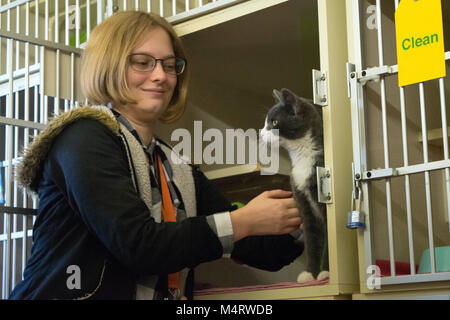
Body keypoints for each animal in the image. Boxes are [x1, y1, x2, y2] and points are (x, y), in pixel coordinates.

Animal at [258, 88, 328, 282]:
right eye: (266, 122)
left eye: (274, 122)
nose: (260, 133)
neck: (303, 156)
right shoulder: (304, 203)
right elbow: (312, 241)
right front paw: (311, 274)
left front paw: (326, 273)